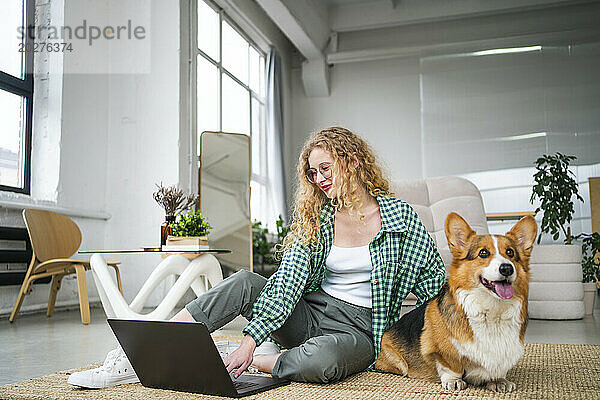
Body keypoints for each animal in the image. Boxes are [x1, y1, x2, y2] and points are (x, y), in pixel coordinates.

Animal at [376, 214, 540, 392]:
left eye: (510, 252)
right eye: (483, 253)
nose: (507, 268)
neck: (492, 310)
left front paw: (498, 380)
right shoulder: (440, 351)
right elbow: (450, 366)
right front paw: (454, 380)